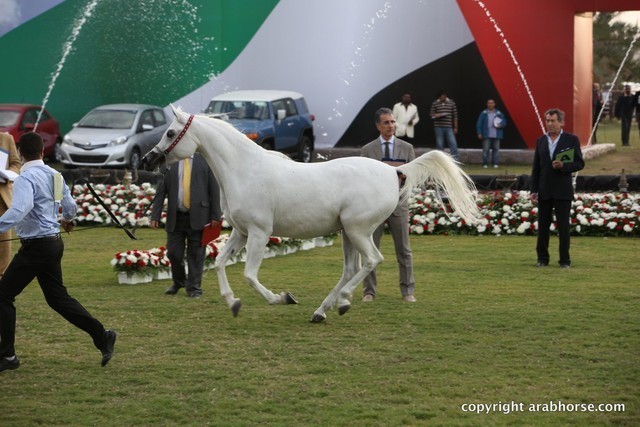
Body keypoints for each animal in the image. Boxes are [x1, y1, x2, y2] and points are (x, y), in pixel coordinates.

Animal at [142, 106, 480, 322]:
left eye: (170, 132)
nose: (148, 159)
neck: (244, 169)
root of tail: (394, 170)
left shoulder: (259, 233)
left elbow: (250, 274)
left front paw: (282, 298)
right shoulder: (240, 232)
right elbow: (221, 263)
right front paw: (233, 303)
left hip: (358, 230)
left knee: (372, 261)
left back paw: (341, 302)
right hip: (347, 233)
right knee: (351, 268)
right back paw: (322, 311)